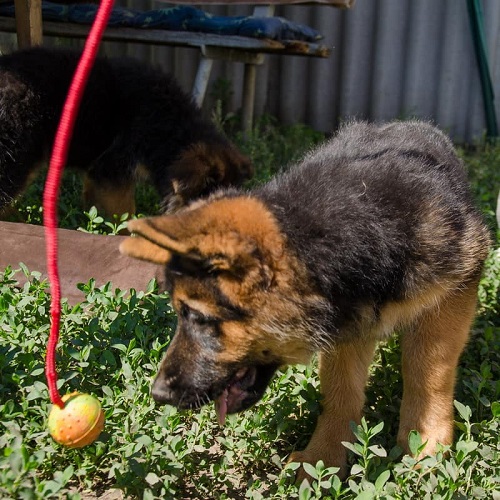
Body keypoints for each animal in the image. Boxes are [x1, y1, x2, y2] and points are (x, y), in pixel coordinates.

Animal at [120, 120, 488, 476]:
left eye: (198, 318)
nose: (158, 394)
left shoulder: (453, 294)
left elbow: (428, 372)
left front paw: (424, 441)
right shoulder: (348, 324)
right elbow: (339, 390)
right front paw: (323, 459)